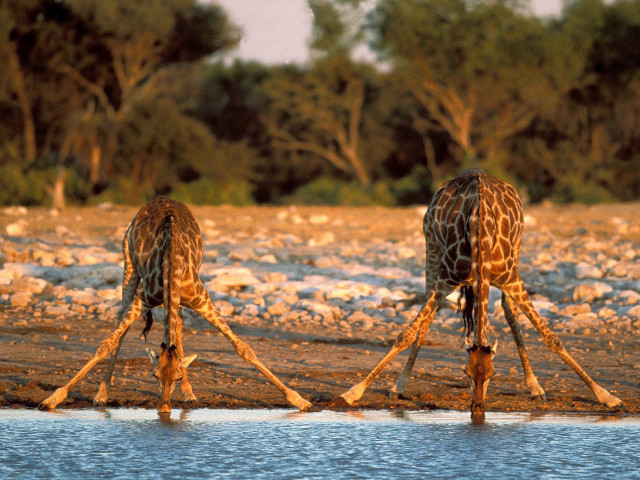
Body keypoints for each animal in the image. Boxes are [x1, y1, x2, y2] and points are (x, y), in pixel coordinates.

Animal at [39, 195, 312, 413]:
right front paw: (53, 399)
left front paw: (299, 400)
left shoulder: (201, 298)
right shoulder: (144, 298)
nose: (164, 408)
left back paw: (190, 394)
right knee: (122, 324)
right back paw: (102, 394)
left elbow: (244, 349)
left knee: (178, 324)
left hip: (174, 295)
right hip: (129, 265)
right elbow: (106, 343)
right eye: (153, 374)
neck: (172, 261)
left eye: (178, 377)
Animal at [333, 168, 623, 414]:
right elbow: (406, 334)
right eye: (465, 373)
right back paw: (400, 386)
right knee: (428, 316)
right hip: (431, 248)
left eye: (493, 374)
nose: (478, 408)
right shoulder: (444, 280)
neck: (480, 232)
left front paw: (607, 396)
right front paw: (353, 392)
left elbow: (552, 338)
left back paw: (535, 387)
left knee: (508, 310)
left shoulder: (511, 279)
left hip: (516, 253)